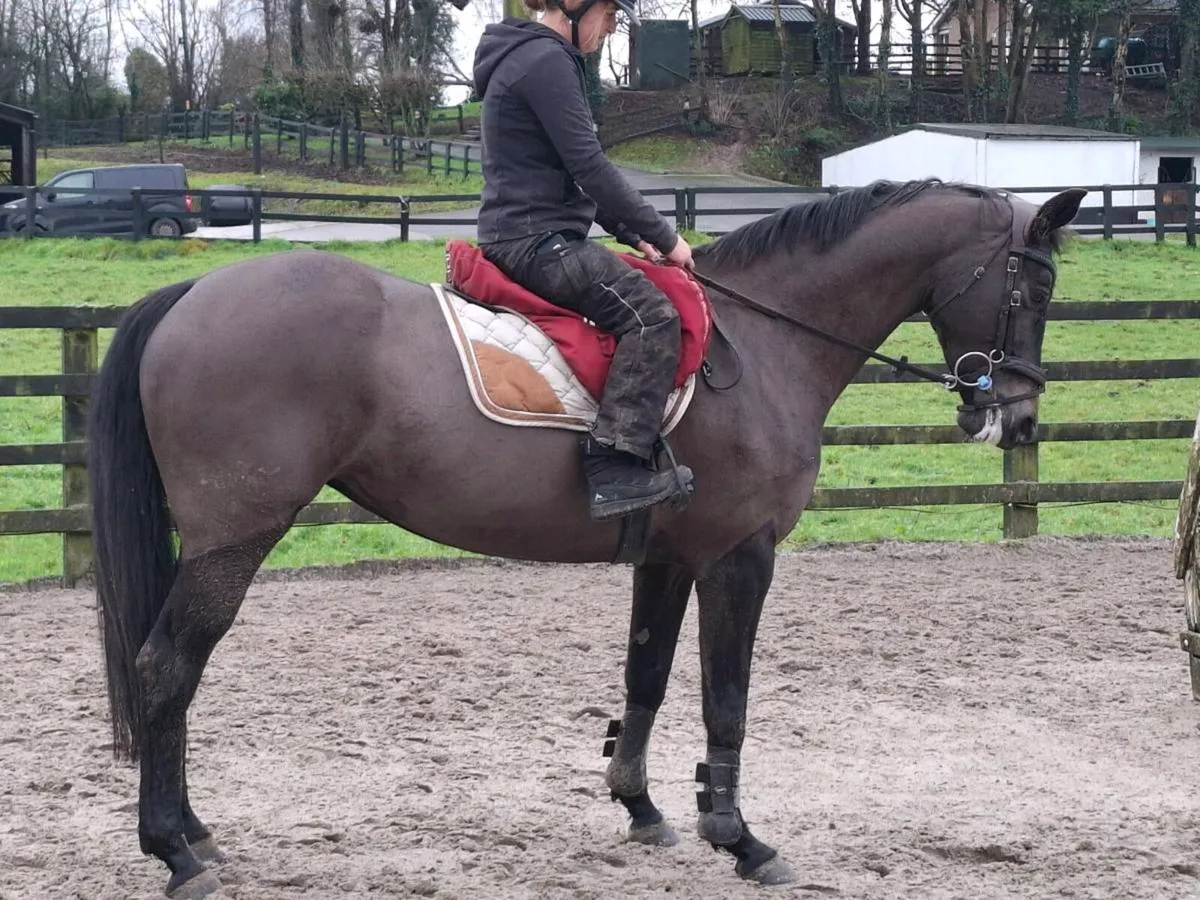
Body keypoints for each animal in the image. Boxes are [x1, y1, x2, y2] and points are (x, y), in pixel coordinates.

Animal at [88, 179, 1085, 898]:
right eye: (1034, 284)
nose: (1022, 418)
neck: (765, 342)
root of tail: (191, 292)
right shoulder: (740, 557)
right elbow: (728, 700)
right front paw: (741, 839)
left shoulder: (668, 559)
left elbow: (645, 676)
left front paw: (642, 807)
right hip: (234, 539)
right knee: (166, 669)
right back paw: (174, 851)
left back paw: (194, 834)